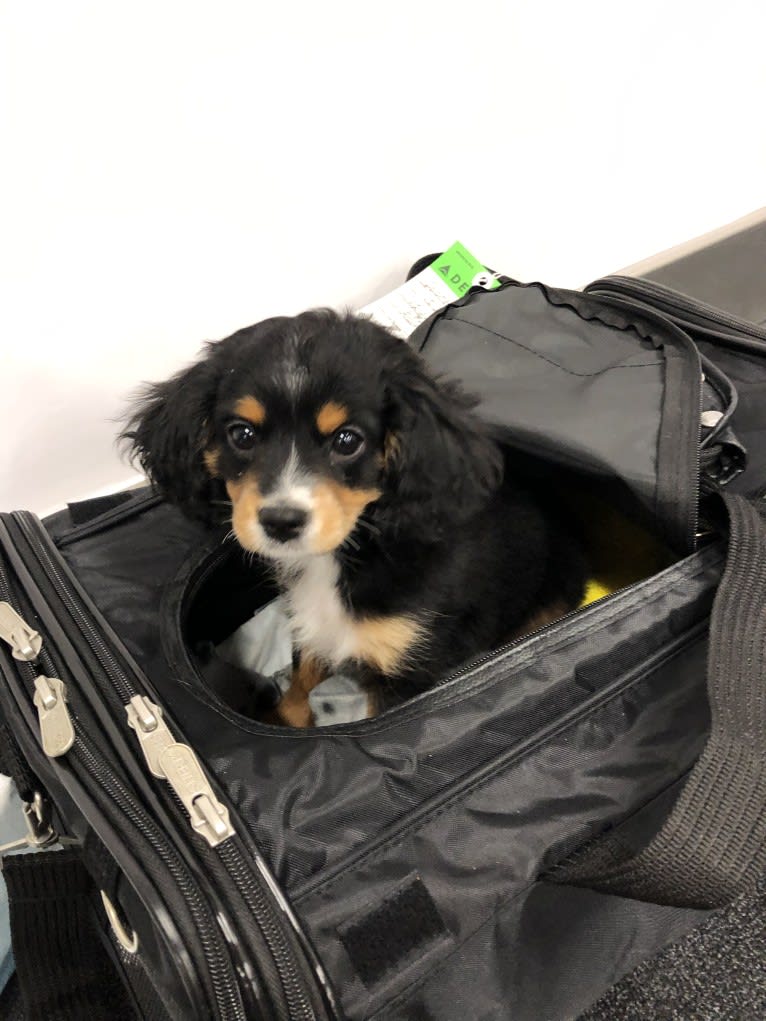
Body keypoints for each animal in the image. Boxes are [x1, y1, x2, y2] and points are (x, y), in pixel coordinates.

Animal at [124, 310, 588, 726]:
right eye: (242, 434)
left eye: (348, 441)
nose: (281, 522)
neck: (343, 557)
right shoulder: (311, 622)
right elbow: (303, 678)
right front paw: (285, 718)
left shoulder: (404, 668)